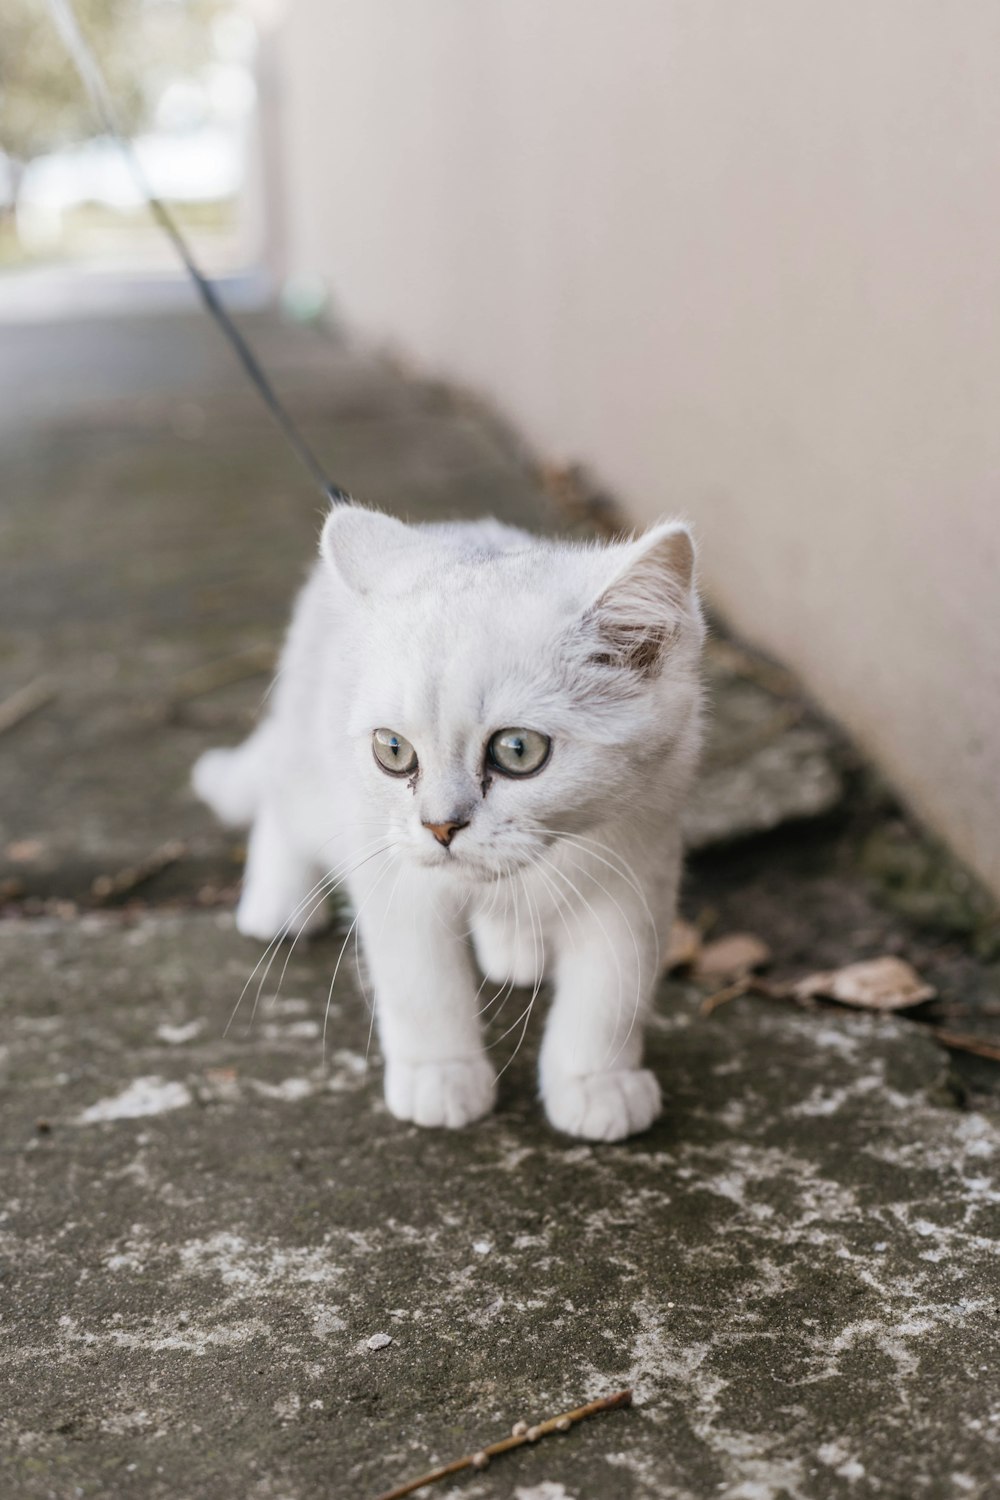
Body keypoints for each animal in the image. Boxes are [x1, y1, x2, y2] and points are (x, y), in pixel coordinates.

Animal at [193, 504, 704, 1134]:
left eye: (517, 750)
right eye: (393, 750)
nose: (440, 828)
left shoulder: (638, 865)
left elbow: (612, 991)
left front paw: (596, 1081)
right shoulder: (396, 878)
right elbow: (422, 985)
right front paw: (440, 1075)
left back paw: (515, 947)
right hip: (316, 774)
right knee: (279, 798)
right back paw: (279, 903)